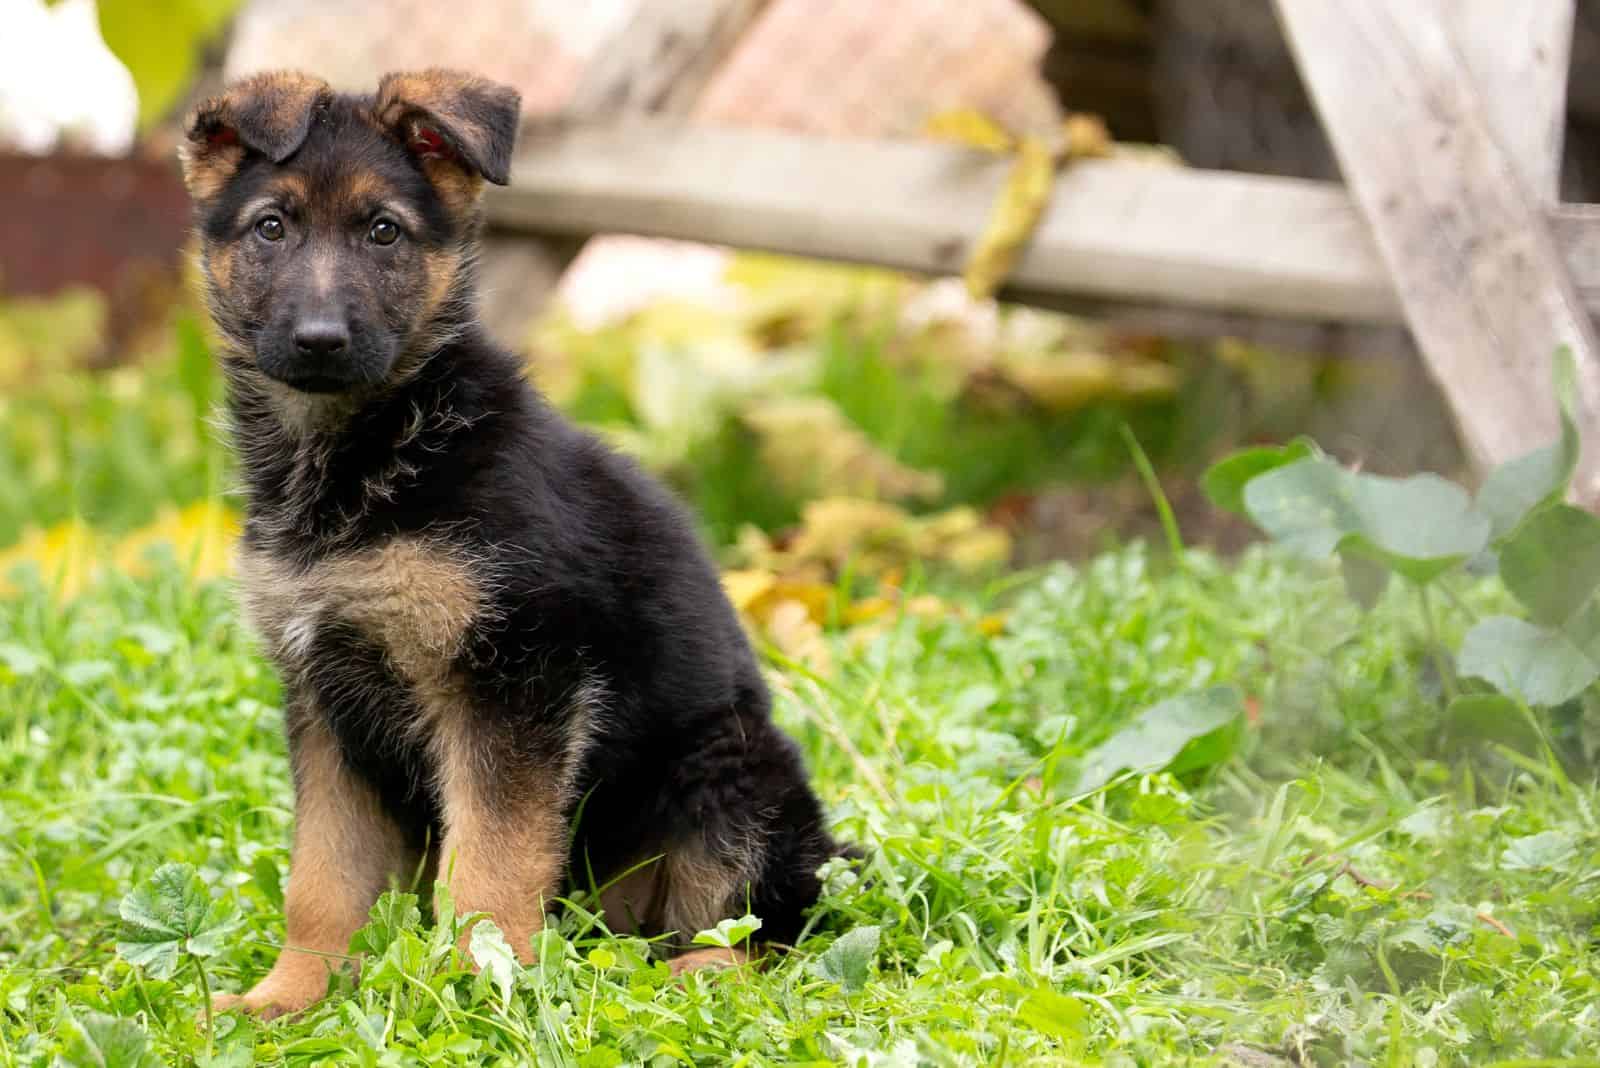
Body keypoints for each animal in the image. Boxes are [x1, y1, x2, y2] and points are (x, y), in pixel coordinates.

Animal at [180, 66, 844, 1016]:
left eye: (384, 231)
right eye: (272, 226)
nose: (320, 341)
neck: (376, 445)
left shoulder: (516, 680)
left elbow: (490, 861)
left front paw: (474, 984)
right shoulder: (322, 699)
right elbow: (322, 876)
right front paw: (291, 995)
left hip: (732, 770)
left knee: (763, 926)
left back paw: (695, 975)